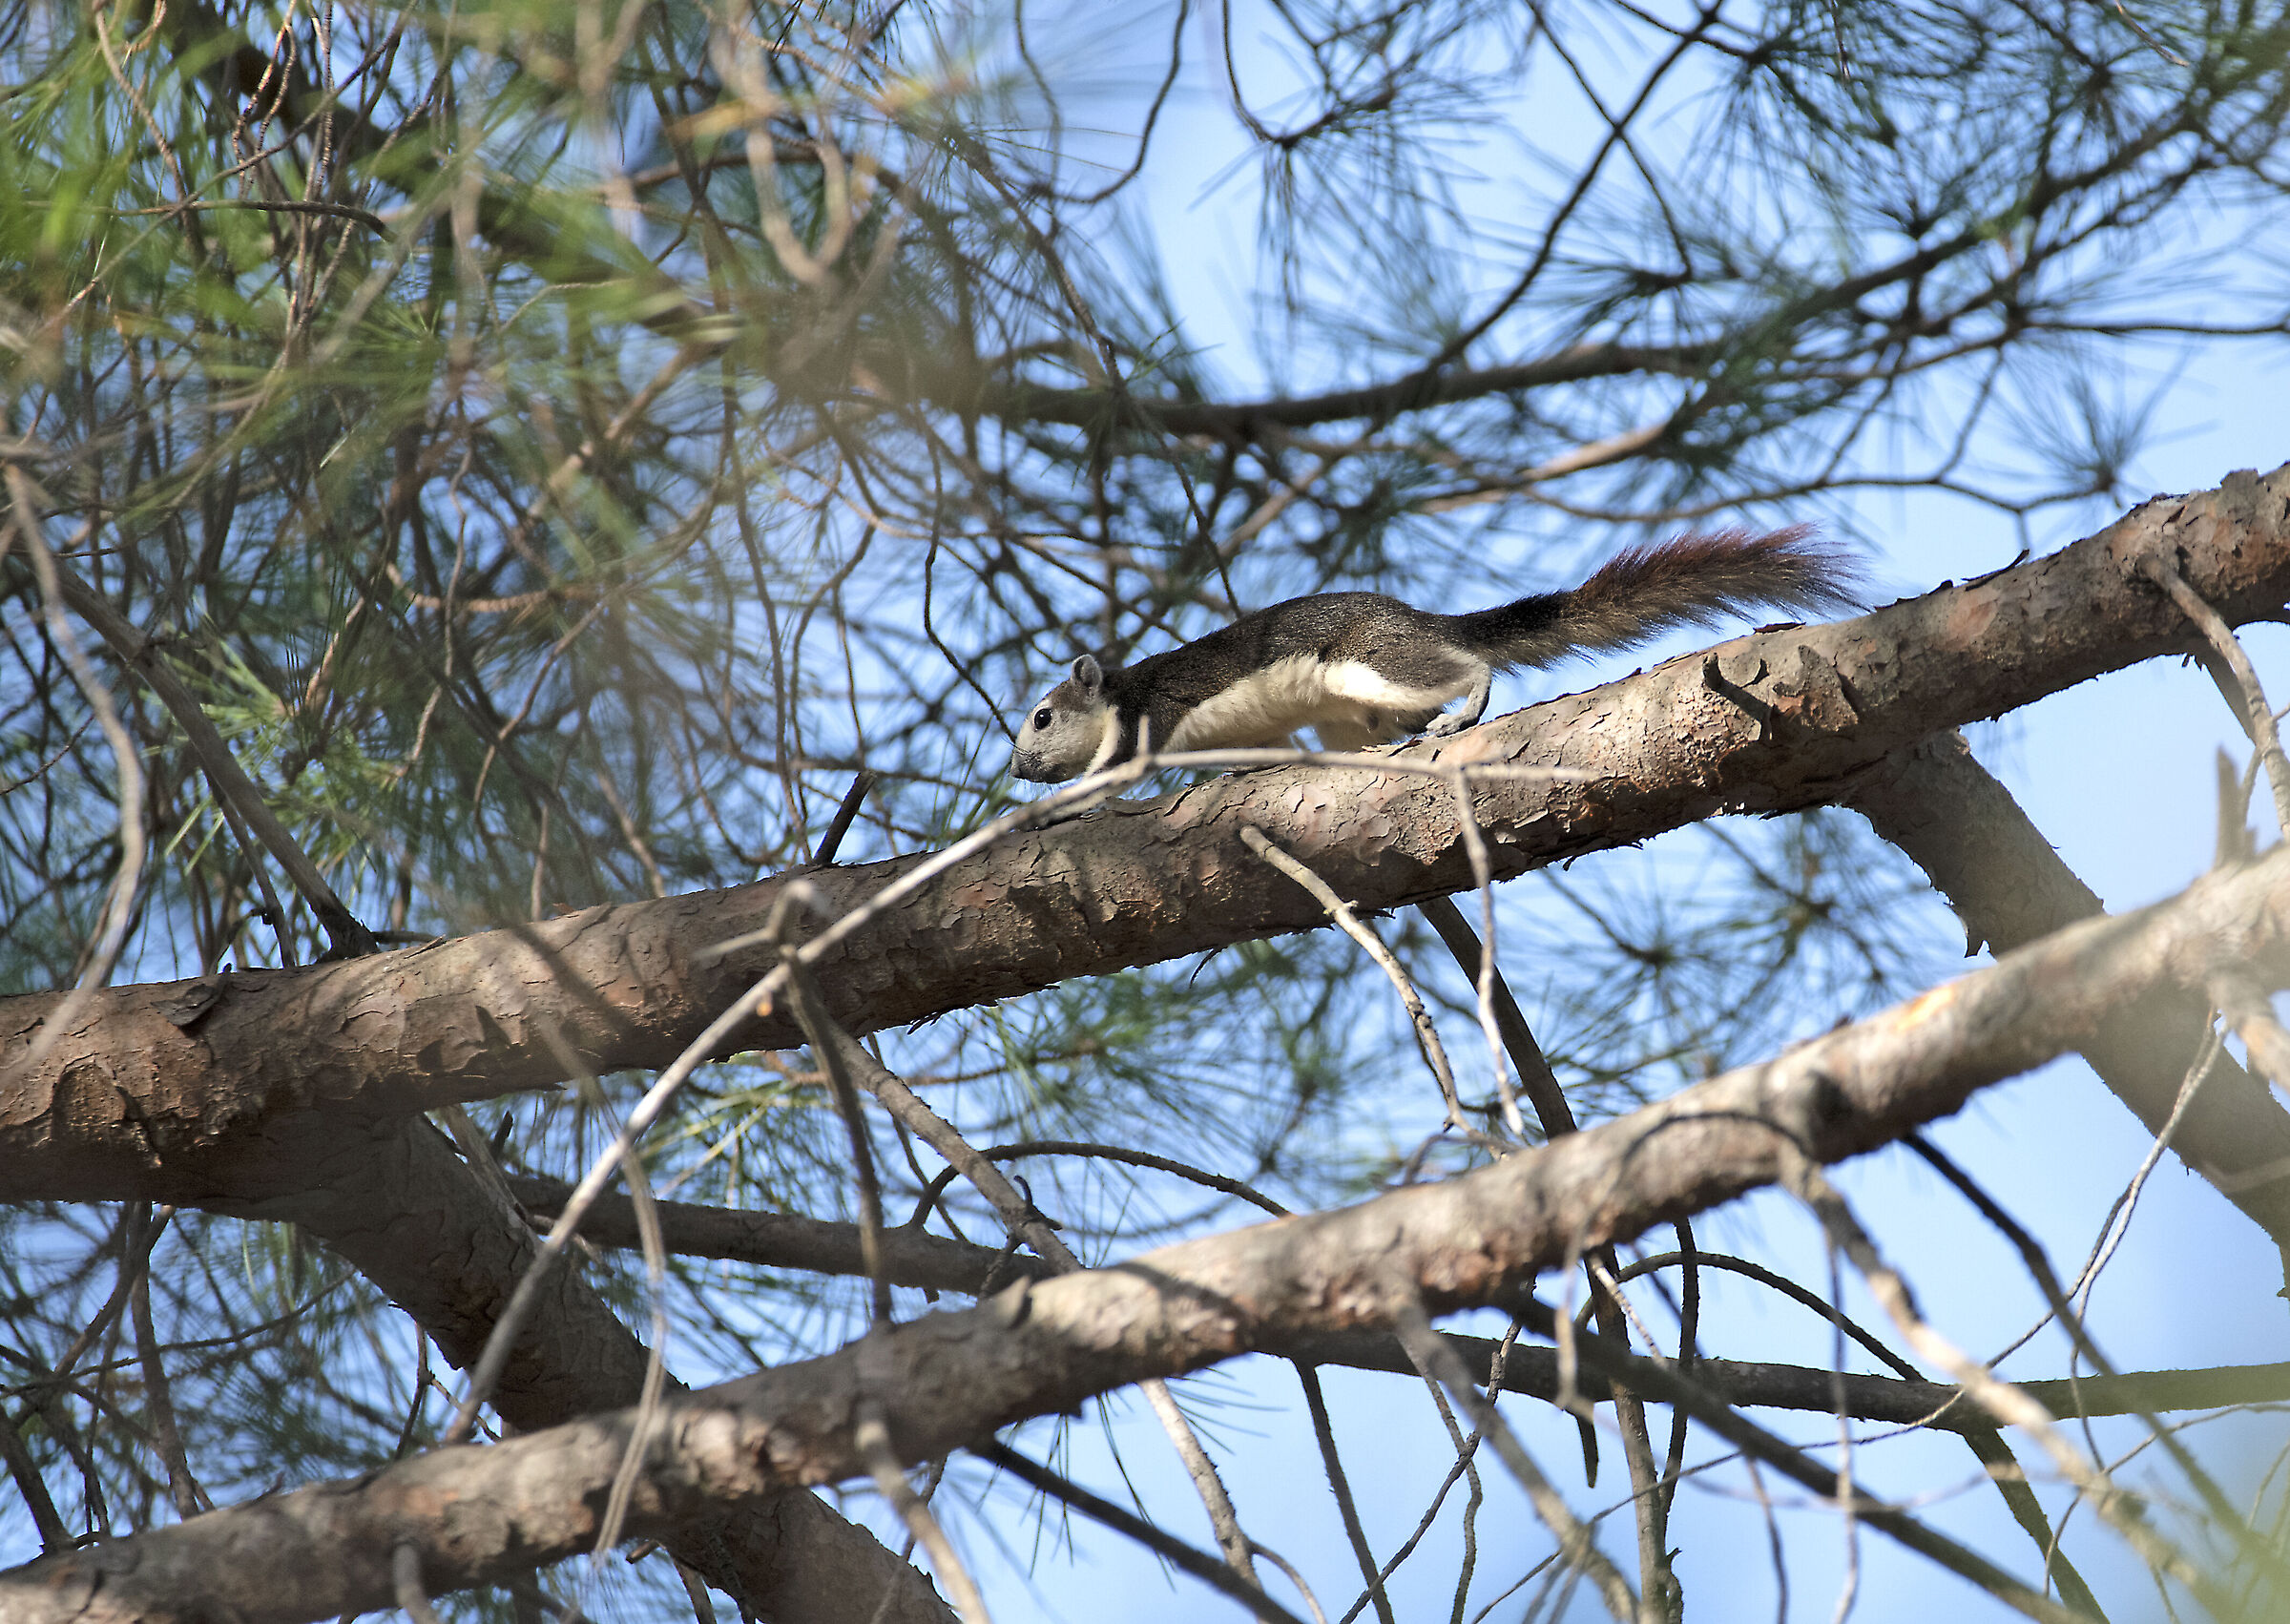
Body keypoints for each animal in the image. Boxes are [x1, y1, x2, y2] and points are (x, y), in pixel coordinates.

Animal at [1008, 526, 1860, 783]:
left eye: (1042, 717)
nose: (1017, 769)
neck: (1120, 693)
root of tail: (1424, 620)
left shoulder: (1147, 720)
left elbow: (1112, 779)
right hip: (1347, 709)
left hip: (1371, 662)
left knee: (1471, 670)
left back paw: (1462, 712)